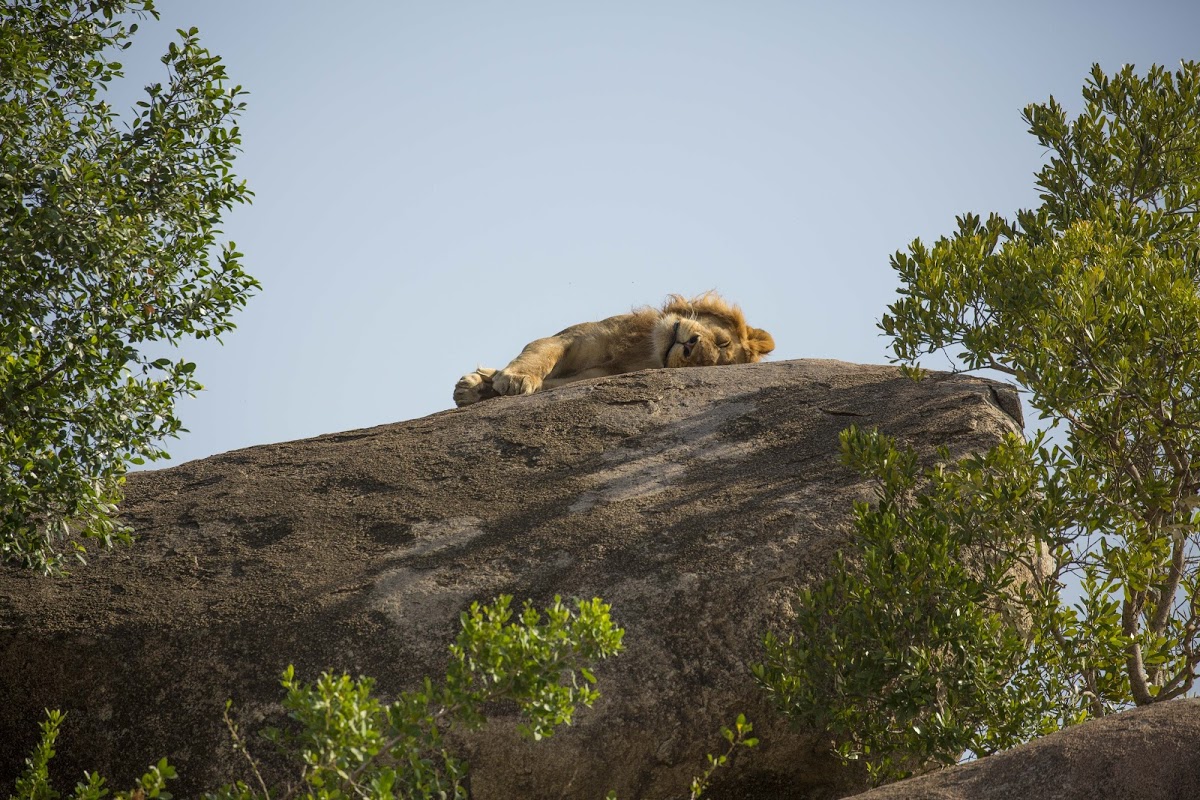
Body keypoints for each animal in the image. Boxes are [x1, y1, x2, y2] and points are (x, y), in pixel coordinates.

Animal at [451, 292, 777, 407]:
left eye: (704, 364)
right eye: (722, 341)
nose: (690, 347)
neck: (642, 350)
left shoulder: (585, 379)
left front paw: (484, 389)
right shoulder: (569, 338)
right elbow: (538, 354)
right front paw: (512, 378)